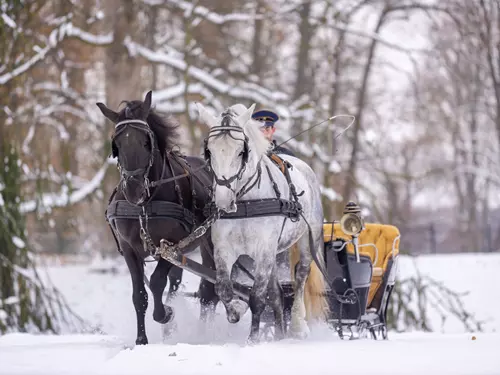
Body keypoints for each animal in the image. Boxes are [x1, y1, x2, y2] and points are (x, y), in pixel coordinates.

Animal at [96, 92, 218, 346]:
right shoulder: (129, 249)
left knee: (212, 290)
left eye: (146, 141)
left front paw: (166, 314)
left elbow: (156, 282)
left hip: (210, 243)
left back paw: (206, 332)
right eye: (117, 145)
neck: (144, 206)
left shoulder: (170, 246)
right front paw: (142, 340)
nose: (133, 190)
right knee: (182, 285)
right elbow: (139, 295)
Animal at [197, 103, 330, 344]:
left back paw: (297, 326)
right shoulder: (224, 249)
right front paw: (237, 309)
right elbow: (224, 289)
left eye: (242, 152)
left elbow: (257, 297)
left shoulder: (263, 249)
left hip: (307, 240)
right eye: (209, 151)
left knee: (300, 276)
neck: (247, 202)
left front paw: (253, 339)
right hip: (273, 253)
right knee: (276, 294)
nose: (223, 202)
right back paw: (279, 333)